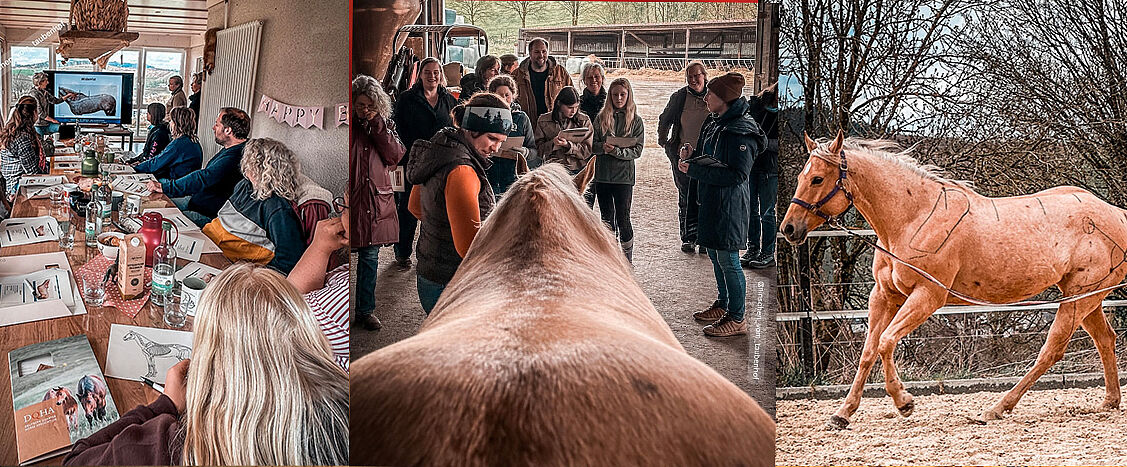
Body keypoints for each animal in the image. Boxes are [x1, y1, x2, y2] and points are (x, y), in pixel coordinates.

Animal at [781, 131, 1127, 429]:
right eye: (801, 177)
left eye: (817, 178)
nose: (788, 229)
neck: (914, 218)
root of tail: (1116, 213)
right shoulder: (884, 295)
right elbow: (868, 350)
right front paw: (842, 414)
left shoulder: (927, 296)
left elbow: (886, 342)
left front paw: (904, 402)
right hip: (1084, 296)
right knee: (1105, 339)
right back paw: (1109, 402)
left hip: (1081, 296)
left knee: (1051, 350)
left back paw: (997, 408)